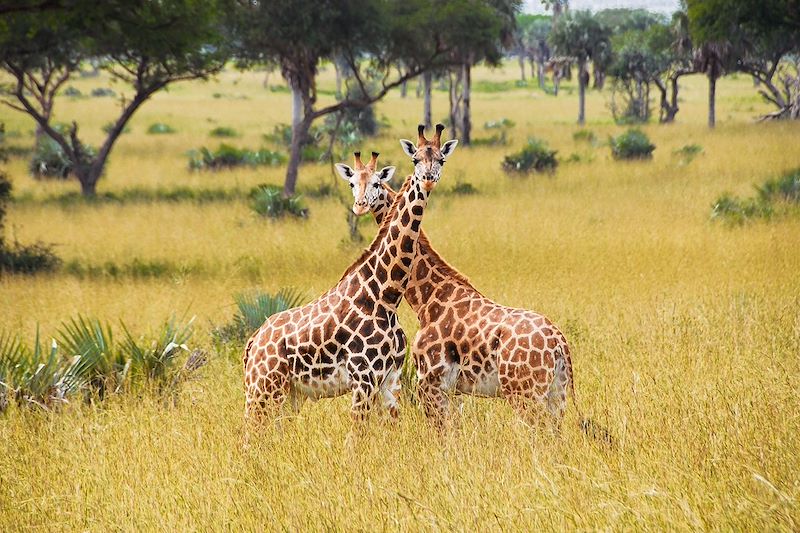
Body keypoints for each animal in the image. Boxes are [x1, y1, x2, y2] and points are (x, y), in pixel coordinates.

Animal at [244, 131, 454, 422]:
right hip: (262, 387)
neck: (386, 294)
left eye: (442, 159)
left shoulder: (389, 380)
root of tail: (253, 342)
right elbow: (356, 432)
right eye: (415, 159)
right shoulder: (363, 378)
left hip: (289, 394)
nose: (428, 179)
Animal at [348, 130, 576, 428]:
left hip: (525, 393)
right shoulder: (454, 391)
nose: (359, 206)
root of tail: (559, 344)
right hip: (556, 394)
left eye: (375, 183)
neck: (427, 300)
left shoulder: (429, 383)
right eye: (352, 182)